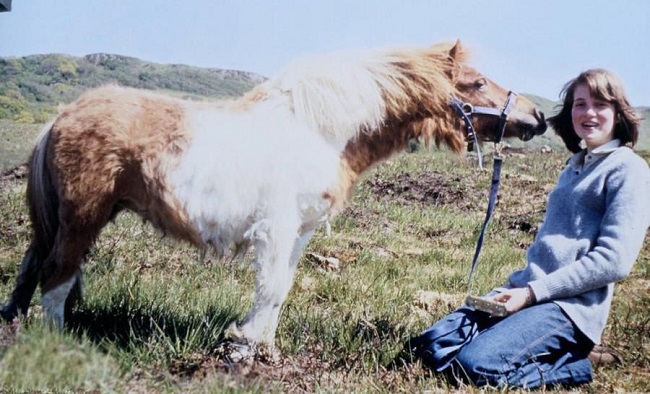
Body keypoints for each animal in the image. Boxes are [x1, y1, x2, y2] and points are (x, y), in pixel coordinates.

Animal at [1, 41, 548, 356]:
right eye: (476, 83)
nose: (537, 117)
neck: (316, 131)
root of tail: (62, 114)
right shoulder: (277, 226)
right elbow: (269, 286)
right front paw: (247, 349)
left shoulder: (299, 231)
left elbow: (281, 287)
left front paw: (257, 343)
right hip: (82, 219)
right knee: (55, 277)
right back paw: (55, 341)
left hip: (59, 223)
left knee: (31, 270)